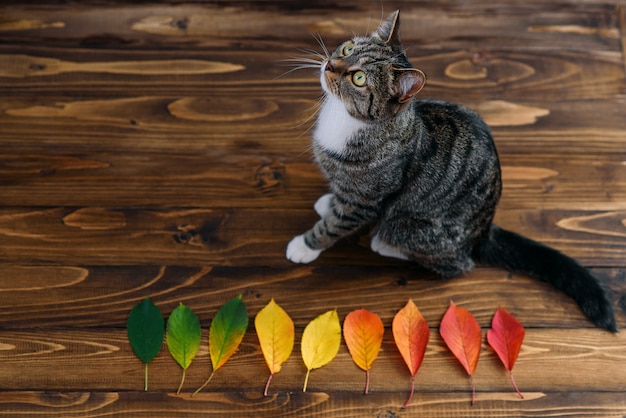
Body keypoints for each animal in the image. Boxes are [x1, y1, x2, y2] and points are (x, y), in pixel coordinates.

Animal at [286, 9, 616, 334]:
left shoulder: (364, 200)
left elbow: (334, 225)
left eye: (358, 78)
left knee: (455, 263)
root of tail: (483, 231)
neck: (344, 119)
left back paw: (384, 243)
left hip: (412, 225)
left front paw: (305, 245)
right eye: (348, 49)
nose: (330, 64)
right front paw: (328, 202)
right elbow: (336, 197)